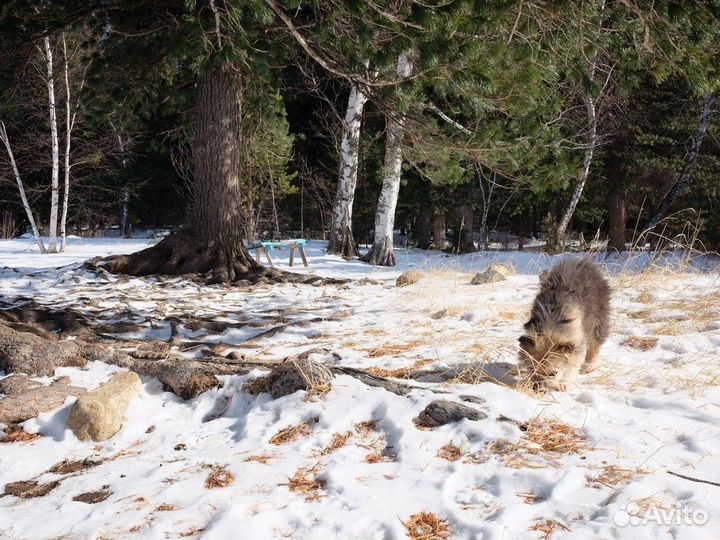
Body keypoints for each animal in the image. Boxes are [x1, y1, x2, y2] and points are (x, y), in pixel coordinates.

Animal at [520, 258, 612, 390]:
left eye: (553, 373)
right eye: (532, 369)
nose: (537, 388)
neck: (552, 323)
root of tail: (583, 262)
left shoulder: (576, 343)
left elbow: (572, 366)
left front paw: (565, 383)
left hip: (599, 318)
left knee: (595, 343)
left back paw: (589, 365)